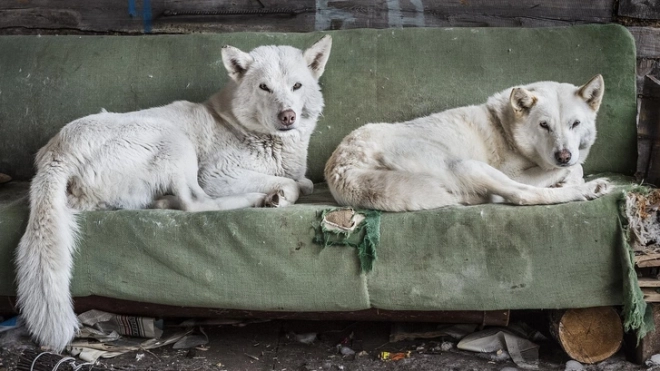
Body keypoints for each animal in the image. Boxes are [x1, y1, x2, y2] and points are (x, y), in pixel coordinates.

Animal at [15, 36, 332, 354]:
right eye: (264, 87)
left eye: (296, 86)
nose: (288, 116)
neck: (240, 125)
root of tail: (56, 154)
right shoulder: (218, 174)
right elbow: (292, 185)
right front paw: (278, 195)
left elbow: (304, 182)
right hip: (174, 140)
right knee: (195, 203)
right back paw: (254, 199)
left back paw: (164, 200)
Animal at [328, 75, 612, 212]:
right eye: (544, 125)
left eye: (575, 124)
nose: (564, 155)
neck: (505, 127)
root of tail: (343, 166)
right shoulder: (518, 173)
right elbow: (572, 169)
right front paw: (571, 180)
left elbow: (574, 167)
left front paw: (568, 176)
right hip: (468, 166)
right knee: (522, 195)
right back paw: (590, 189)